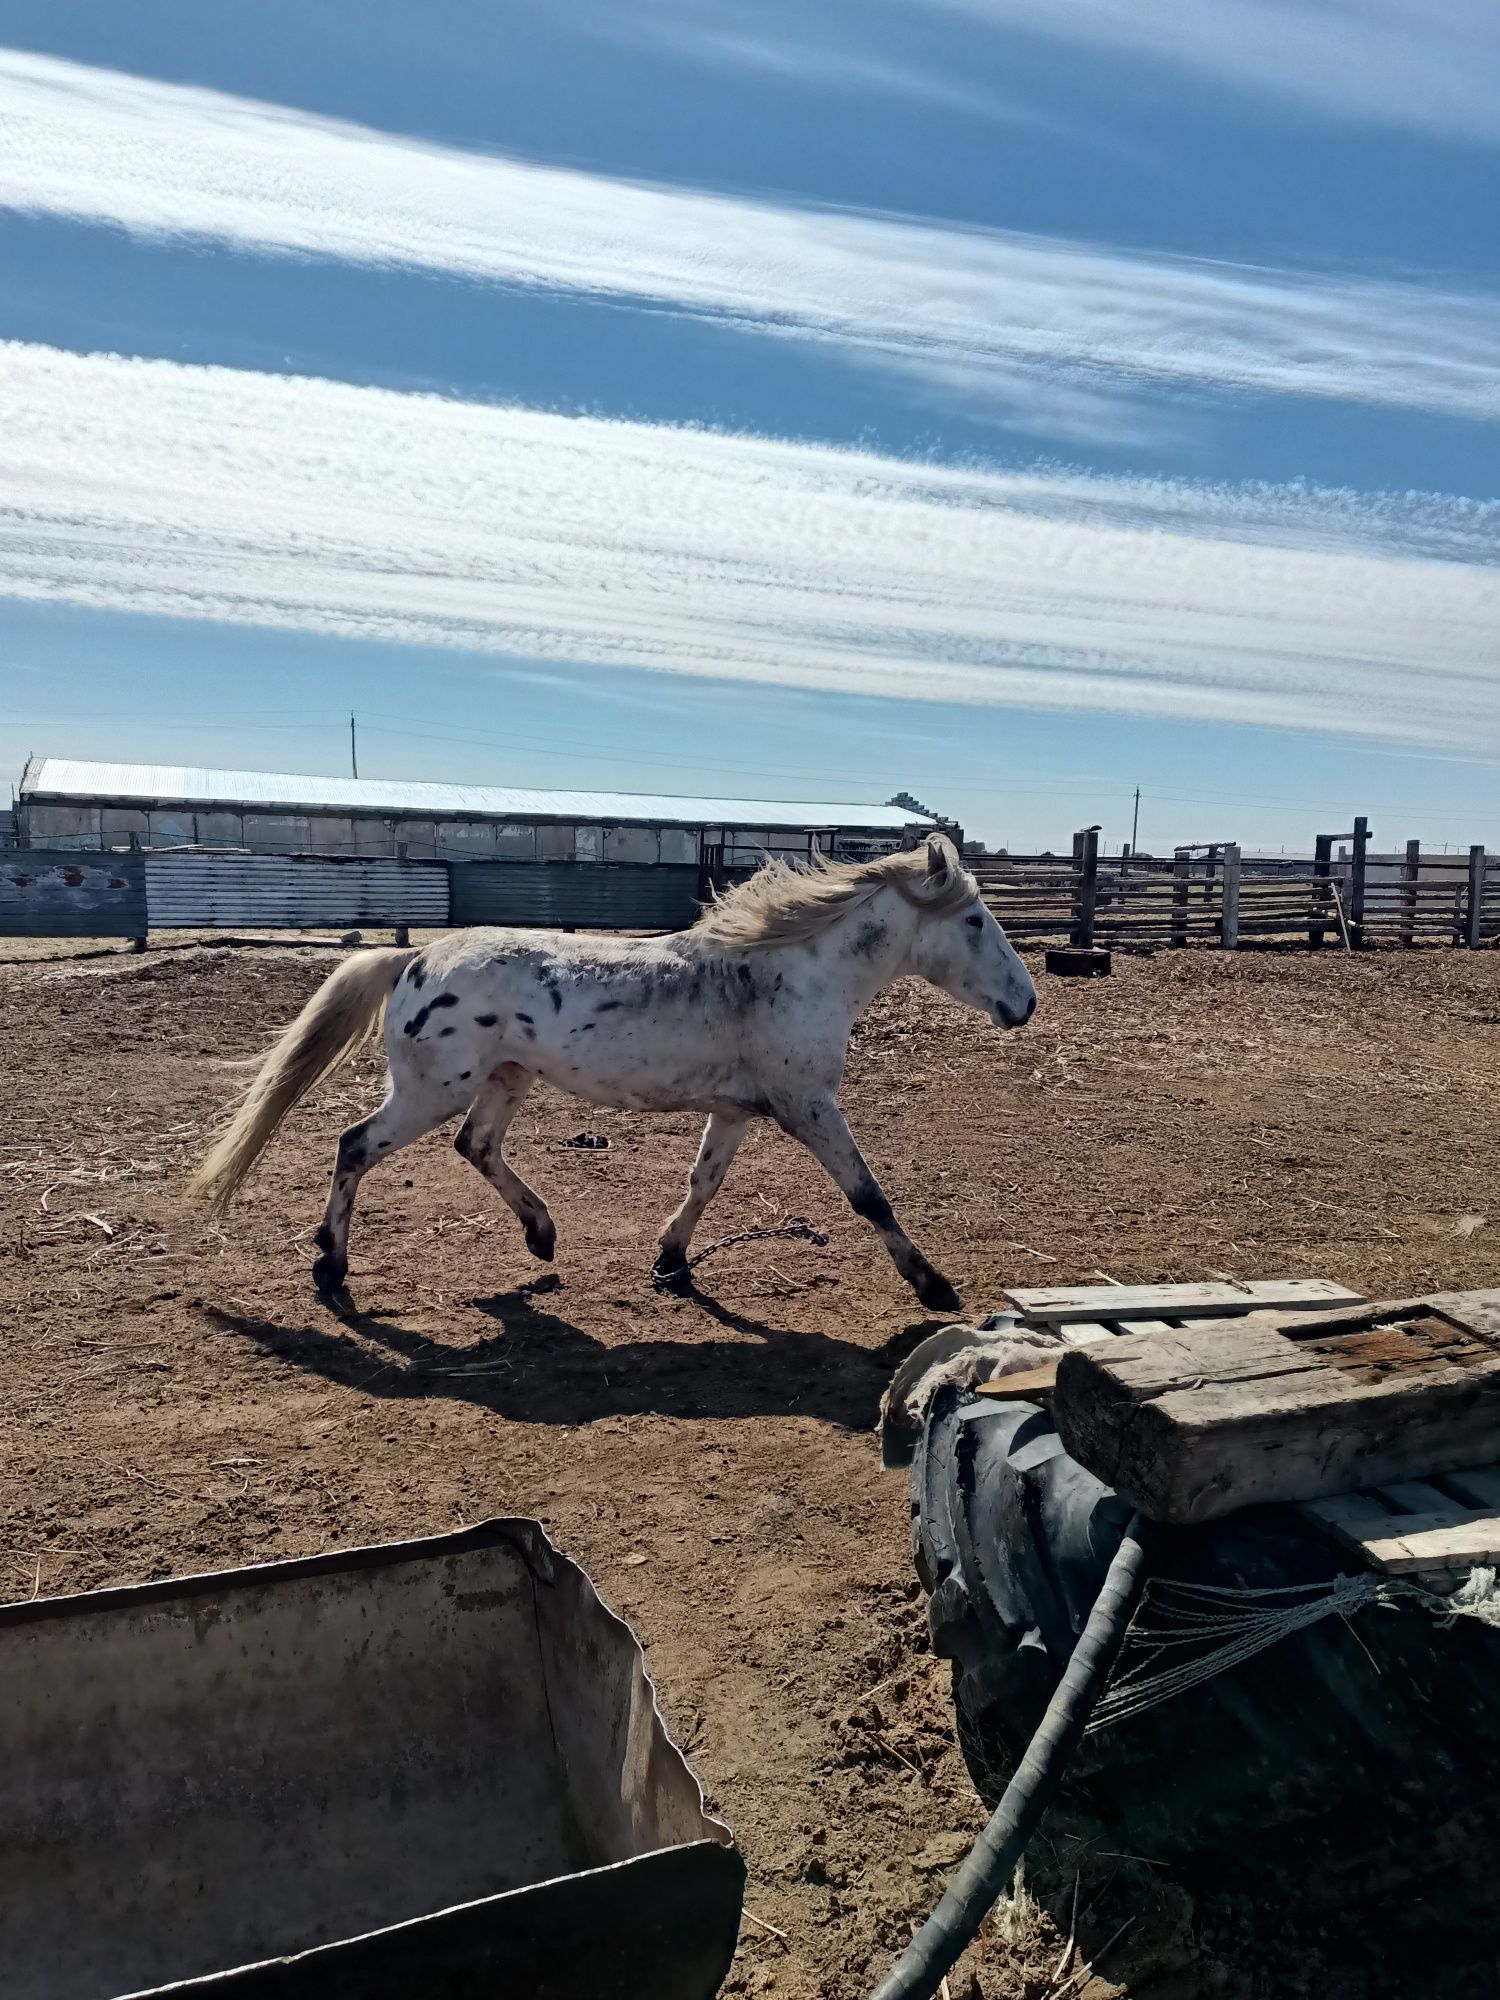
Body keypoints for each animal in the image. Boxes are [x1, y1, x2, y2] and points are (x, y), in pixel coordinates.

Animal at [194, 832, 1040, 1312]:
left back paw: (541, 1237)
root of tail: (414, 960)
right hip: (430, 1091)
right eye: (974, 920)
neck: (791, 972)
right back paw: (330, 1266)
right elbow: (868, 1196)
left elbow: (704, 1182)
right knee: (355, 1146)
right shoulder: (808, 1107)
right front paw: (933, 1286)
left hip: (505, 1079)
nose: (1025, 1003)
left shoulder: (738, 1109)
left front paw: (671, 1262)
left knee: (475, 1147)